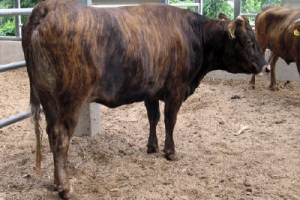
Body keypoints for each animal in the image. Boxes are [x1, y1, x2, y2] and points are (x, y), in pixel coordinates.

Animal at [21, 0, 270, 198]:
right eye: (249, 41)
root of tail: (48, 7)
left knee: (51, 134)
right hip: (72, 99)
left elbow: (154, 118)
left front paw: (152, 147)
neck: (193, 35)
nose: (266, 67)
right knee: (61, 137)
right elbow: (170, 120)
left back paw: (56, 183)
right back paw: (66, 188)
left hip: (48, 98)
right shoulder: (176, 90)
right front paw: (170, 152)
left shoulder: (151, 92)